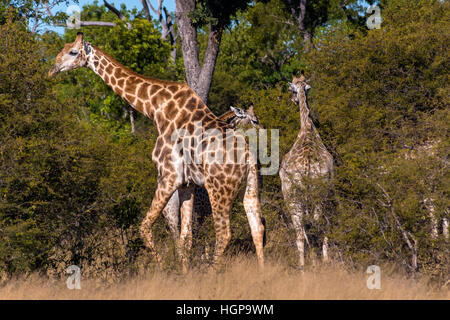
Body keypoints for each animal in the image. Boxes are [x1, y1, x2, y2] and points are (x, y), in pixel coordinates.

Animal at [48, 33, 268, 272]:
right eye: (64, 47)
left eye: (73, 52)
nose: (52, 69)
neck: (154, 108)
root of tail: (248, 157)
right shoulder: (187, 184)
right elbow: (185, 237)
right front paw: (185, 274)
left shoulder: (168, 175)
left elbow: (144, 227)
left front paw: (163, 270)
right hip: (250, 187)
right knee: (257, 228)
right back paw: (262, 273)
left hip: (219, 188)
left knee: (224, 233)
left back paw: (212, 273)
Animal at [282, 72, 334, 268]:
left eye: (291, 89)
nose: (292, 99)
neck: (307, 128)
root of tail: (306, 166)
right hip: (317, 194)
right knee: (315, 224)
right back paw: (317, 261)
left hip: (293, 196)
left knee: (301, 228)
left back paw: (304, 264)